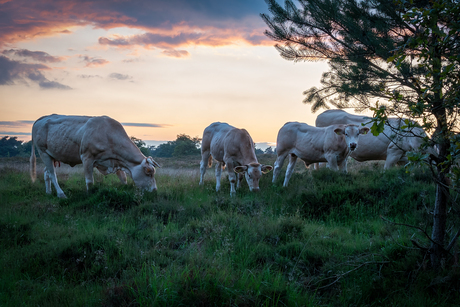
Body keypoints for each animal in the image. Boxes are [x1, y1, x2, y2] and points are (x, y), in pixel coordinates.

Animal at [30, 114, 160, 199]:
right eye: (149, 172)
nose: (155, 191)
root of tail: (42, 118)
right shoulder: (87, 157)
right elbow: (90, 181)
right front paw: (90, 195)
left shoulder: (115, 160)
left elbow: (123, 179)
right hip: (43, 152)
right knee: (52, 174)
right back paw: (61, 194)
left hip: (52, 155)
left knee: (46, 173)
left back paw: (48, 192)